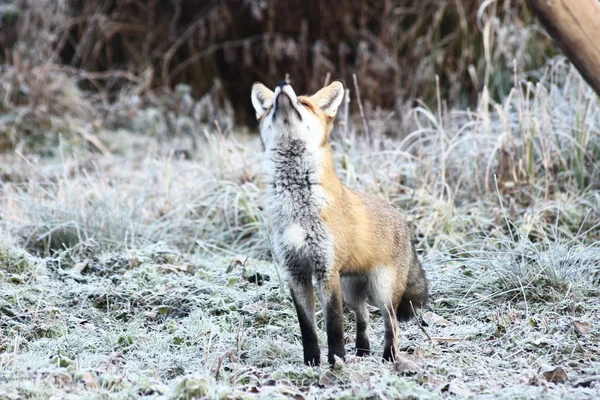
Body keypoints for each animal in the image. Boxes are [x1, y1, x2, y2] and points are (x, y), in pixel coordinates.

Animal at [251, 79, 428, 366]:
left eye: (305, 103)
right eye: (269, 107)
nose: (281, 83)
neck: (299, 208)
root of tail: (402, 218)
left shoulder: (326, 271)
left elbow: (334, 326)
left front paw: (336, 362)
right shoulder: (296, 271)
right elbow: (308, 327)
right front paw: (311, 363)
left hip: (381, 292)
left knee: (391, 323)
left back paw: (388, 357)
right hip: (352, 292)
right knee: (363, 317)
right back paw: (363, 352)